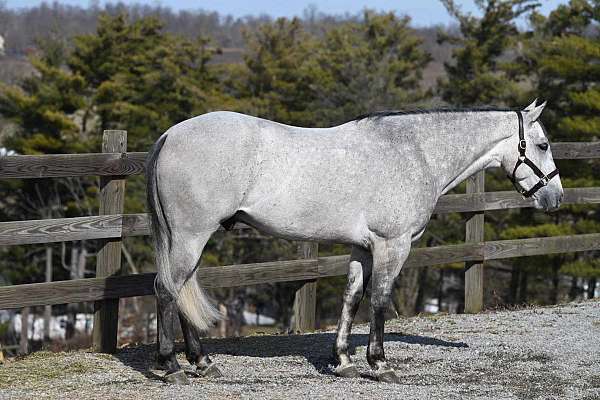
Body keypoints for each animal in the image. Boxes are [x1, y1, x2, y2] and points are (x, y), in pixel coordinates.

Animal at [145, 99, 564, 384]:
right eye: (543, 145)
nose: (555, 197)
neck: (414, 152)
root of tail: (169, 135)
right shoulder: (393, 245)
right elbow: (379, 299)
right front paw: (380, 364)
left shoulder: (363, 247)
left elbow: (352, 298)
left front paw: (344, 361)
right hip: (191, 236)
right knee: (167, 289)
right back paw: (171, 366)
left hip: (191, 239)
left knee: (182, 292)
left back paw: (202, 363)